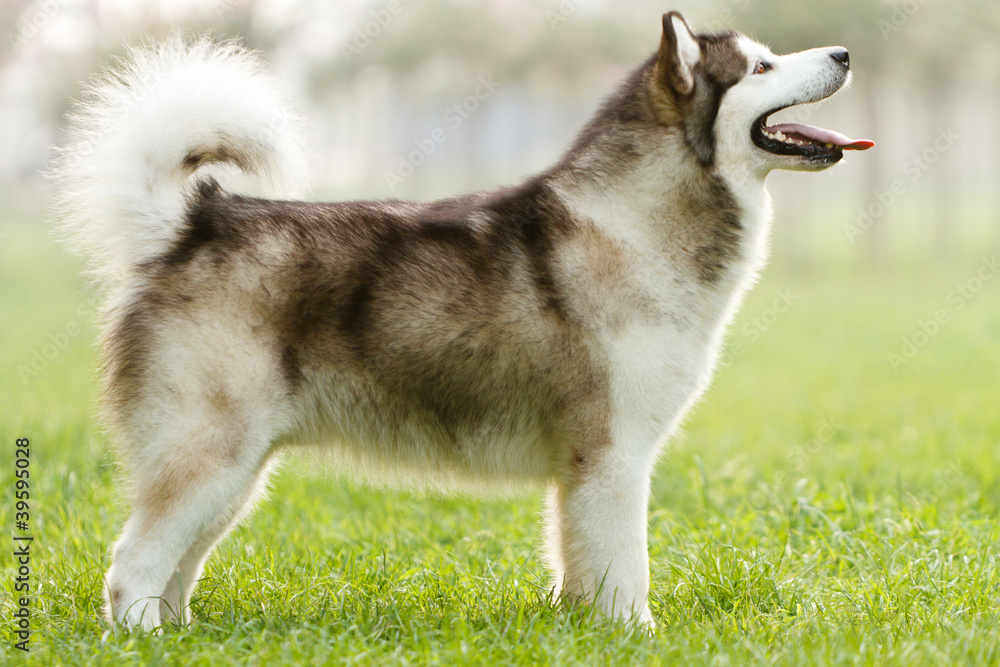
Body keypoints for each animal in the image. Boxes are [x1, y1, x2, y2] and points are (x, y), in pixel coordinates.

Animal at [50, 13, 872, 636]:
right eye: (762, 66)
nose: (843, 52)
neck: (638, 225)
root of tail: (196, 220)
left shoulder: (584, 469)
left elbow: (581, 566)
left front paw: (584, 630)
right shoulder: (613, 454)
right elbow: (625, 568)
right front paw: (638, 636)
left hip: (235, 471)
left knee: (174, 564)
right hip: (211, 454)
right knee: (131, 566)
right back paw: (148, 639)